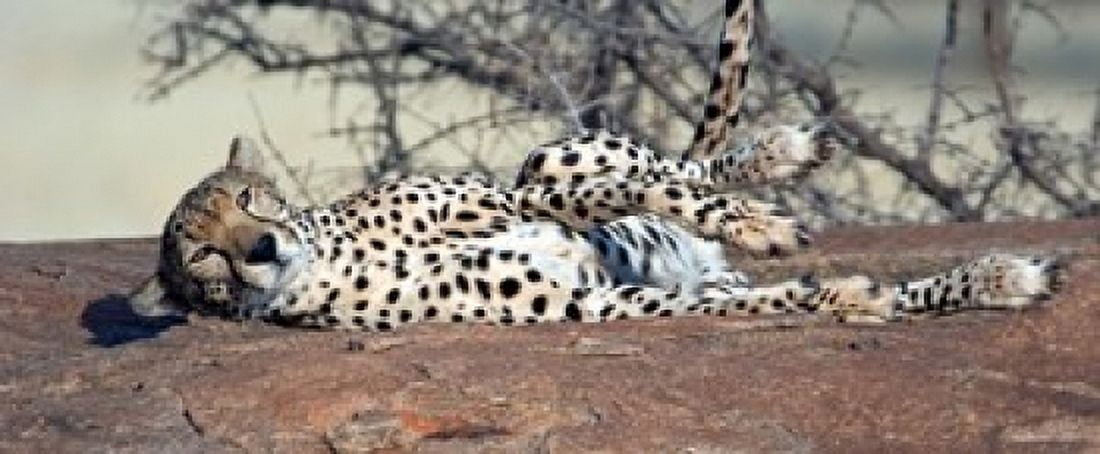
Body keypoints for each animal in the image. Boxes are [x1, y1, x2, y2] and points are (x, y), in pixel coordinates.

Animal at [129, 0, 1064, 331]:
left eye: (251, 197)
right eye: (202, 256)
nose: (260, 249)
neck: (328, 254)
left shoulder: (515, 193)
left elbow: (633, 190)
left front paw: (764, 220)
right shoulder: (597, 301)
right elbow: (755, 298)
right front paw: (843, 296)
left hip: (552, 147)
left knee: (680, 163)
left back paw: (785, 156)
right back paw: (998, 279)